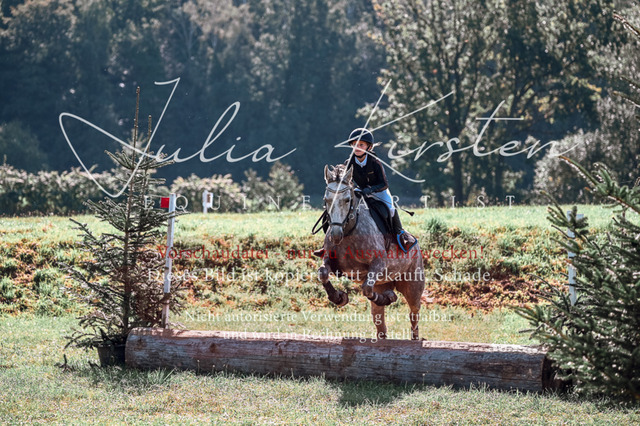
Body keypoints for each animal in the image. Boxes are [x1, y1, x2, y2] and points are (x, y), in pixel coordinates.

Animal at [317, 164, 425, 340]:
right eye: (326, 200)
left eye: (347, 200)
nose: (335, 235)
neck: (349, 230)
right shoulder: (332, 261)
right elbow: (323, 273)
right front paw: (339, 298)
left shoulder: (378, 264)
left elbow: (367, 288)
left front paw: (387, 298)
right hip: (383, 283)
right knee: (378, 318)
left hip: (413, 287)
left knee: (414, 313)